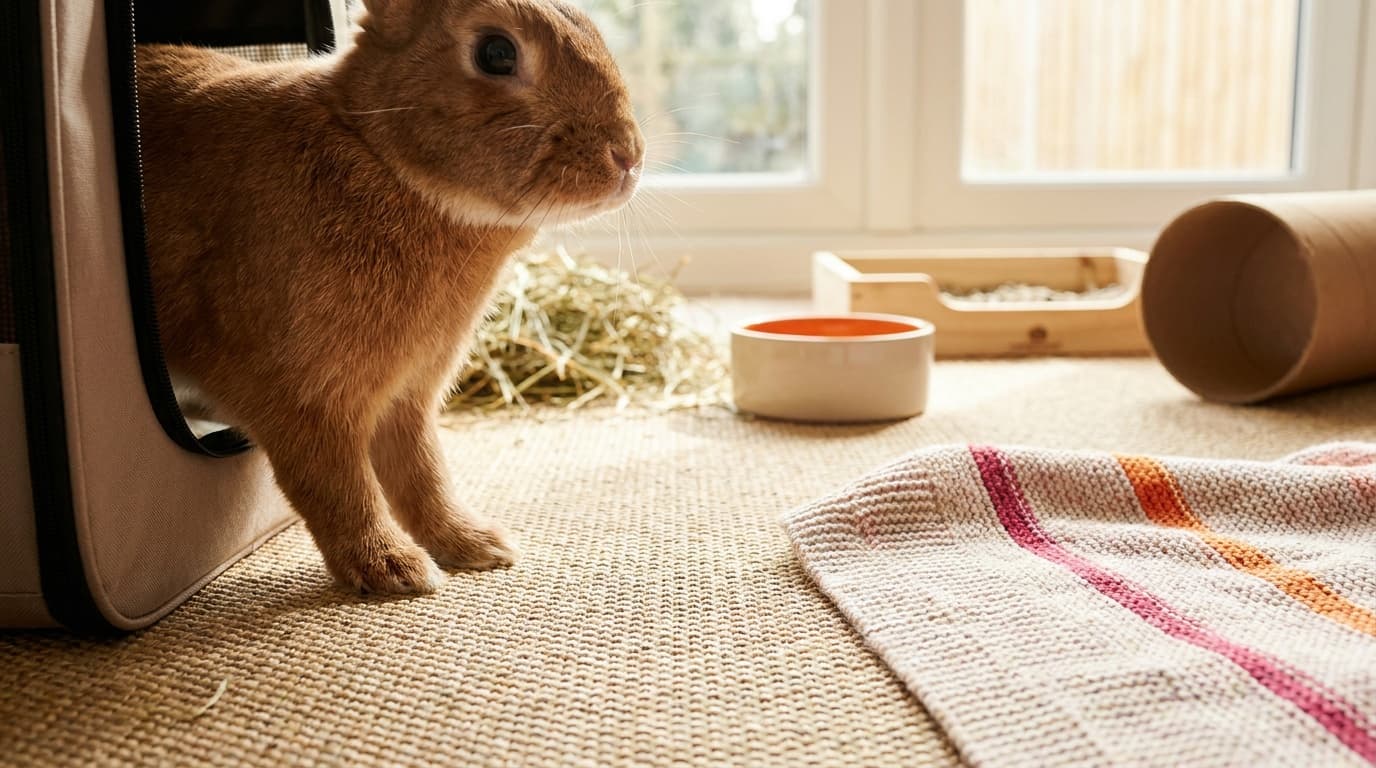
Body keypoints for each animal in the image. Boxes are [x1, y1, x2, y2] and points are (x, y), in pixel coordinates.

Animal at [136, 0, 645, 594]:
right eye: (497, 53)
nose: (628, 156)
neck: (380, 154)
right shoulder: (303, 400)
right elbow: (336, 486)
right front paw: (394, 570)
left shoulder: (409, 396)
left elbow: (422, 472)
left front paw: (476, 545)